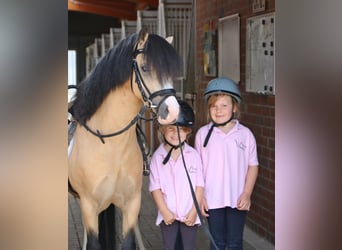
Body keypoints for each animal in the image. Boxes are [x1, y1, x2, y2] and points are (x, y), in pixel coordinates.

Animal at [68, 28, 183, 249]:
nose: (172, 111)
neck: (109, 145)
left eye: (171, 72)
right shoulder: (88, 205)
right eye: (145, 68)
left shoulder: (131, 203)